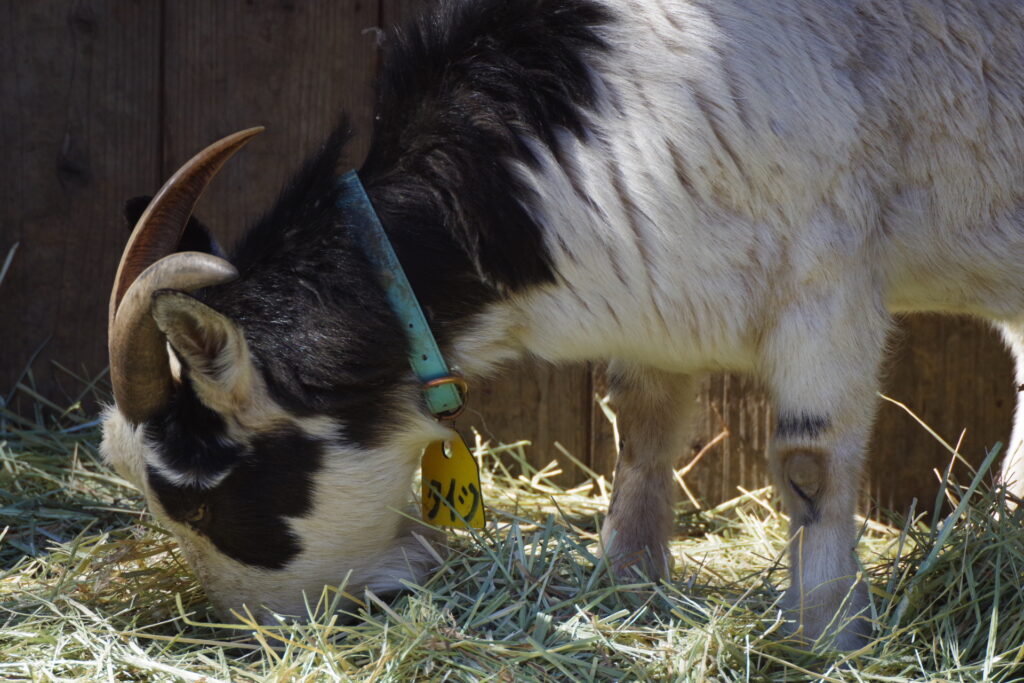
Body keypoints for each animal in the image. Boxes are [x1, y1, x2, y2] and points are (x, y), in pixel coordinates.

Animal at [99, 0, 1024, 651]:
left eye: (205, 498)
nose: (264, 633)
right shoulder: (665, 293)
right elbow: (641, 425)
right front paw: (629, 586)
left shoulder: (827, 278)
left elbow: (808, 462)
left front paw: (826, 636)